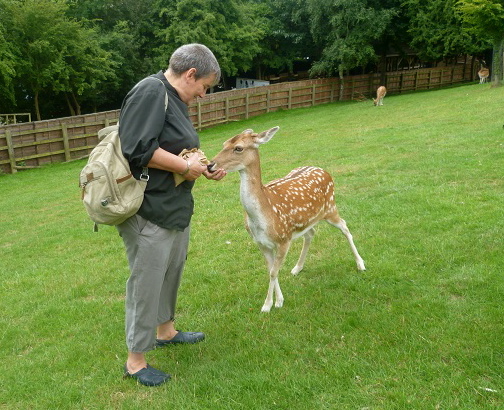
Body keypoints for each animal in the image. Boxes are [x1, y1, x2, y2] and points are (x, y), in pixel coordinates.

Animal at [209, 126, 366, 312]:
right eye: (224, 143)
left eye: (238, 148)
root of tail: (324, 171)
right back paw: (297, 268)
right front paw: (278, 300)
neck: (263, 217)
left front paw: (268, 305)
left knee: (345, 226)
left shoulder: (284, 239)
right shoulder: (261, 243)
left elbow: (273, 272)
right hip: (307, 221)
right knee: (311, 233)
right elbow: (271, 270)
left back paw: (360, 264)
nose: (210, 165)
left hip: (330, 208)